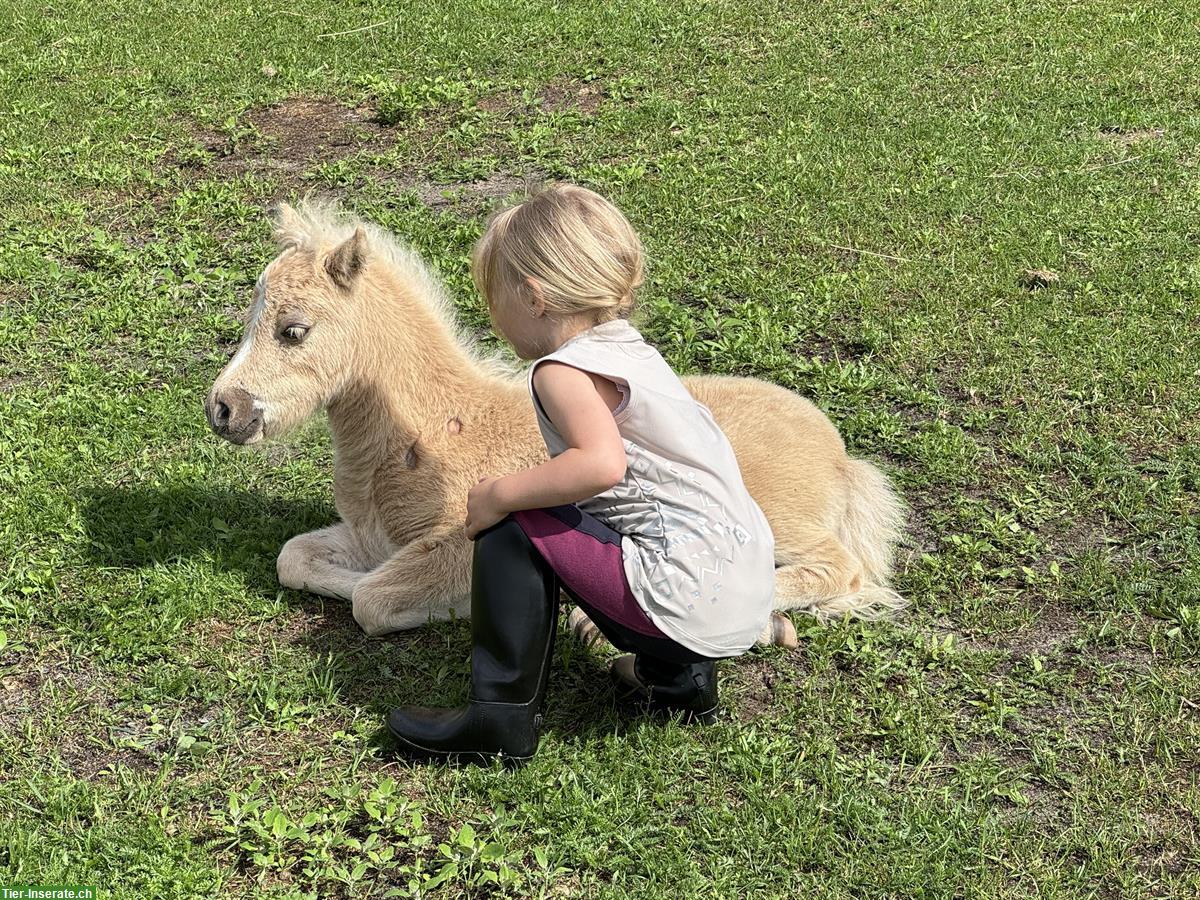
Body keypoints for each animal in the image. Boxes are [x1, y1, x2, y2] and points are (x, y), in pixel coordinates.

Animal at [206, 201, 902, 643]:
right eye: (249, 319)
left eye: (294, 331)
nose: (224, 409)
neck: (432, 433)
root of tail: (841, 456)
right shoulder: (372, 536)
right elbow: (296, 559)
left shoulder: (459, 537)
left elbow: (372, 600)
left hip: (774, 524)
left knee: (839, 568)